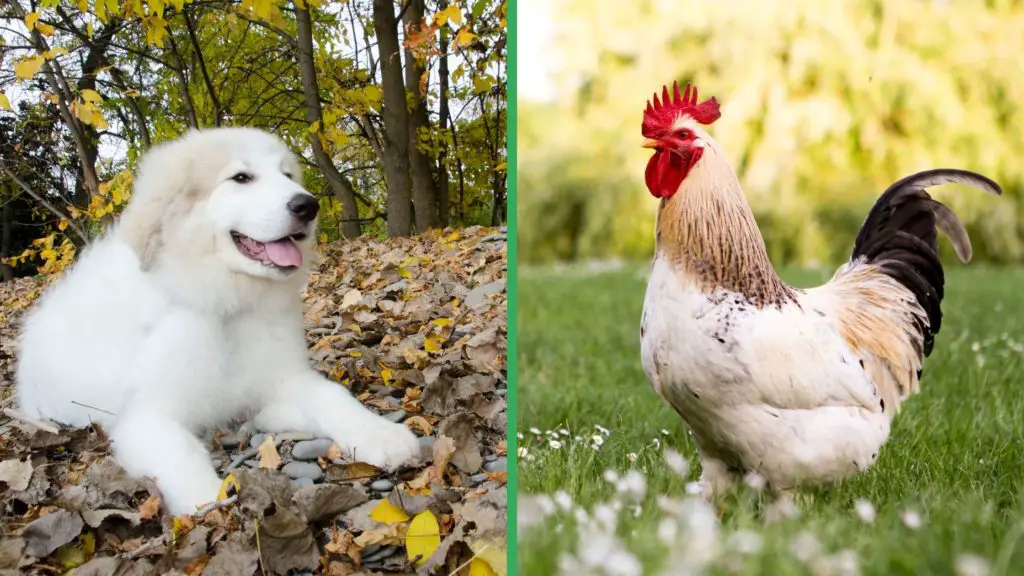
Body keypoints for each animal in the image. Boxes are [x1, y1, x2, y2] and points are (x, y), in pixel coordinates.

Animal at [14, 127, 419, 512]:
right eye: (241, 178)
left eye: (287, 175)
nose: (308, 205)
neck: (226, 307)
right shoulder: (146, 417)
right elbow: (180, 453)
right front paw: (212, 502)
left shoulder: (287, 377)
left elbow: (334, 396)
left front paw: (382, 435)